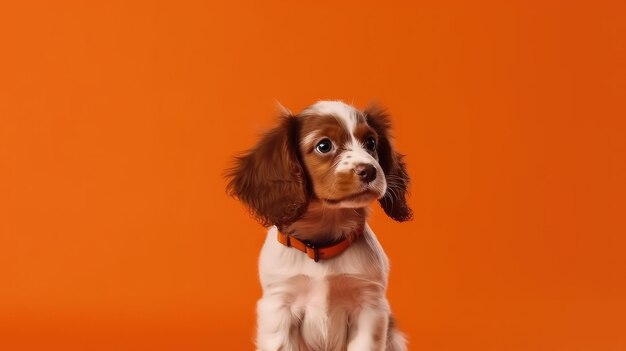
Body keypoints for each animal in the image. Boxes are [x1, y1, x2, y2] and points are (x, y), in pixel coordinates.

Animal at [227, 100, 412, 350]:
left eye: (371, 142)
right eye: (324, 146)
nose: (370, 170)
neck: (321, 244)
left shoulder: (369, 305)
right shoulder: (278, 306)